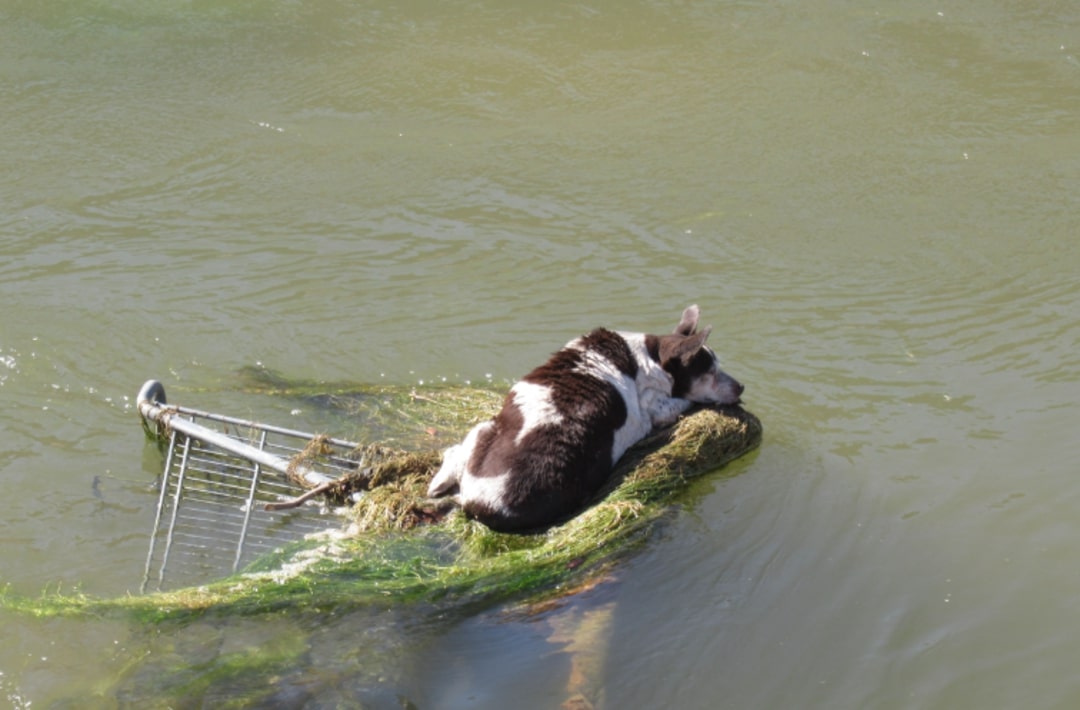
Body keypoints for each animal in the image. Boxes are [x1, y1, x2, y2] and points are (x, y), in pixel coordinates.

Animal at [425, 304, 747, 531]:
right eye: (710, 371)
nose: (742, 387)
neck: (650, 357)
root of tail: (478, 503)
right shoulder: (658, 408)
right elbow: (681, 401)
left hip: (485, 427)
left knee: (454, 453)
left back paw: (437, 483)